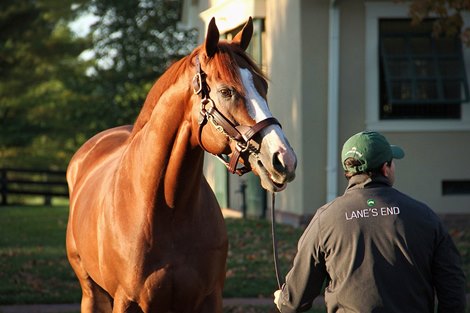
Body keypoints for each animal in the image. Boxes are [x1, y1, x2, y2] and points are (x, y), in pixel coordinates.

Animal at [65, 17, 296, 312]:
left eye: (263, 88)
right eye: (226, 91)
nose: (284, 159)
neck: (168, 209)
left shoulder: (210, 298)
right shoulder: (126, 301)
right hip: (92, 292)